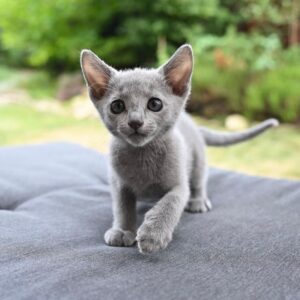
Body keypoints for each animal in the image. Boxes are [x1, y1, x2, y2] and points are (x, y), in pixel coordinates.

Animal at [80, 44, 278, 254]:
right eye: (117, 106)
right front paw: (123, 230)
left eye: (155, 104)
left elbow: (170, 203)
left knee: (199, 181)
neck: (142, 155)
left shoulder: (179, 185)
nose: (135, 121)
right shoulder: (119, 183)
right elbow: (122, 207)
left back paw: (198, 201)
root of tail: (195, 125)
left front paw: (153, 235)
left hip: (198, 159)